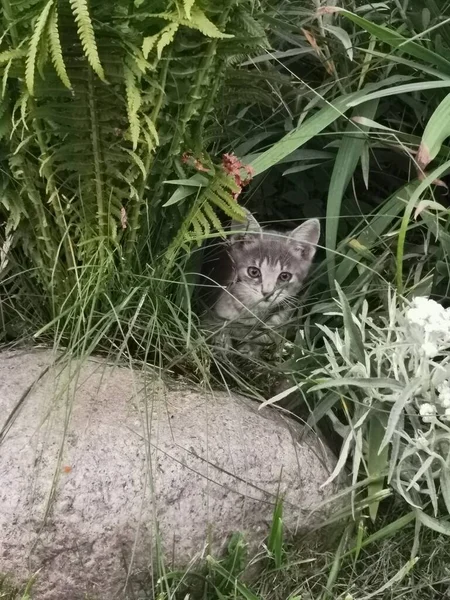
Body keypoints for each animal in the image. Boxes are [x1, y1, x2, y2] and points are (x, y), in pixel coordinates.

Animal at [204, 210, 320, 354]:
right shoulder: (212, 315)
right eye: (254, 272)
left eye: (284, 276)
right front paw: (222, 345)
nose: (267, 293)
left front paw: (248, 349)